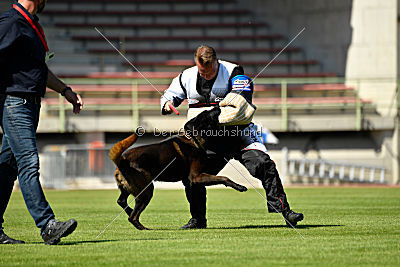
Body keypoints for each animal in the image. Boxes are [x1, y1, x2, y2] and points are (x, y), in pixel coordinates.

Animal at [110, 108, 247, 231]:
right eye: (208, 114)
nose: (218, 106)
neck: (192, 138)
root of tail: (122, 160)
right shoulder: (196, 177)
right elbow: (224, 177)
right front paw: (239, 186)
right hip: (146, 191)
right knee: (132, 217)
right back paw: (143, 227)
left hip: (129, 189)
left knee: (121, 201)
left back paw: (130, 211)